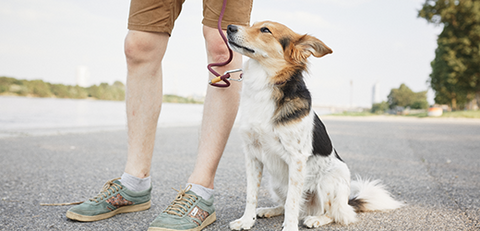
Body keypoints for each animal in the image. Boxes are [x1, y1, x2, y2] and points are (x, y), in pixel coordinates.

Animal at [227, 21, 404, 231]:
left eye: (265, 30)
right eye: (252, 24)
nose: (229, 27)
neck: (265, 84)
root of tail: (347, 202)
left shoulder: (296, 159)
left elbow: (292, 202)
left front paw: (290, 228)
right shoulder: (252, 154)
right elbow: (251, 195)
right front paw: (247, 220)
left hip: (330, 180)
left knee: (334, 213)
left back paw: (316, 219)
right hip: (276, 182)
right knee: (287, 205)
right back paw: (269, 210)